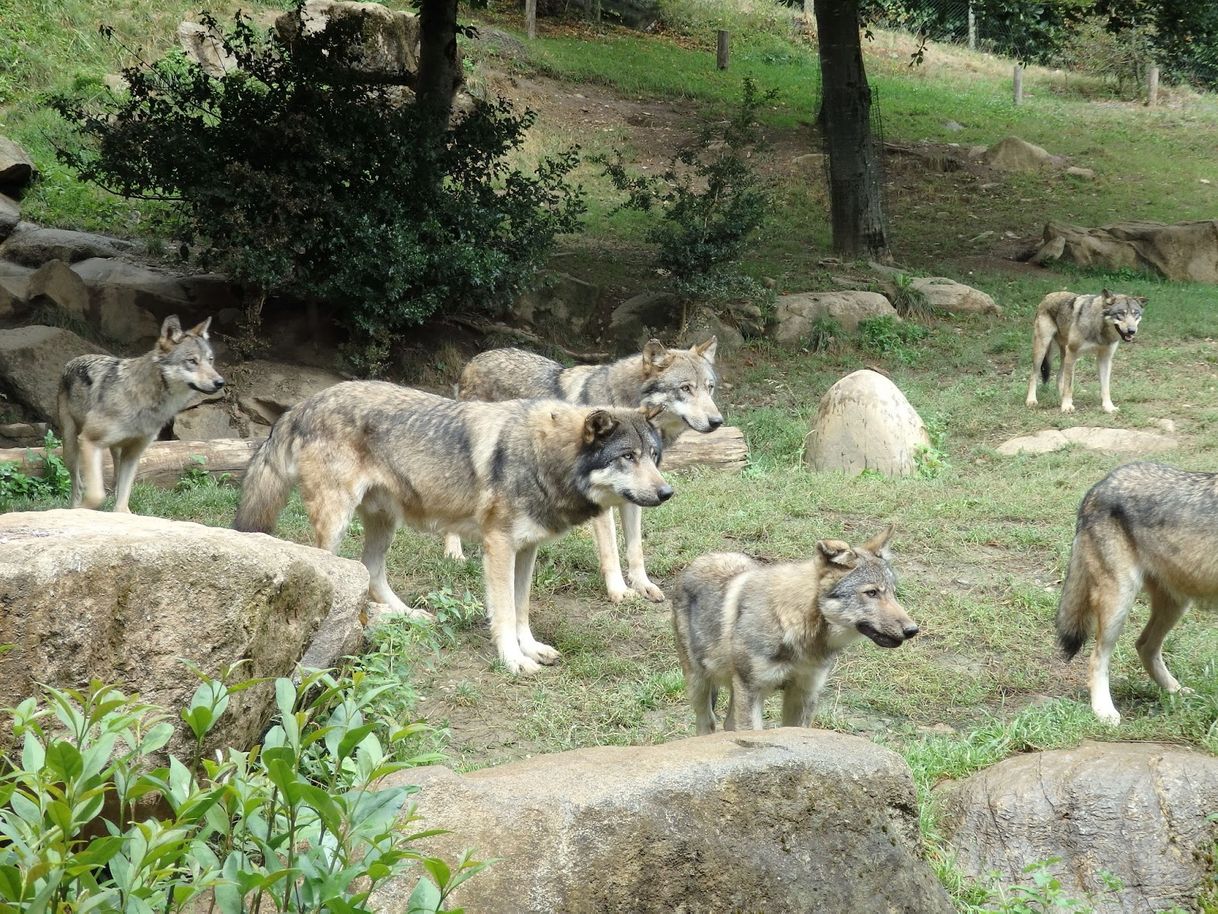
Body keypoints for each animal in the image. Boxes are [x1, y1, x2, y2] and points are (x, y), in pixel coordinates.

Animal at [57, 314, 224, 516]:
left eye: (210, 360)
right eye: (192, 361)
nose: (220, 382)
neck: (144, 401)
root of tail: (72, 360)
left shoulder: (133, 453)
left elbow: (123, 501)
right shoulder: (89, 441)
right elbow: (97, 495)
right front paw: (84, 509)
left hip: (117, 451)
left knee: (115, 482)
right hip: (71, 447)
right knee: (78, 485)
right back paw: (73, 507)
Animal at [235, 382, 677, 677]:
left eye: (654, 456)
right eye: (627, 456)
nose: (667, 492)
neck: (542, 458)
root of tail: (302, 404)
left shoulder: (526, 549)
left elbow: (521, 608)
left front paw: (531, 648)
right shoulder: (498, 547)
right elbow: (503, 612)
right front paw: (514, 660)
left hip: (384, 522)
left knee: (371, 572)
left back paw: (405, 617)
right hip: (337, 523)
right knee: (344, 573)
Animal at [450, 341, 721, 604]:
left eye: (710, 388)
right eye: (685, 388)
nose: (717, 421)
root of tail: (474, 360)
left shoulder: (635, 492)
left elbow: (635, 548)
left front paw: (643, 585)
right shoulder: (600, 500)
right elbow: (611, 550)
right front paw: (619, 591)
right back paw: (454, 553)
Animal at [672, 526, 915, 736]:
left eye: (893, 593)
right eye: (872, 593)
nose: (912, 629)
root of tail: (701, 559)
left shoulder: (803, 693)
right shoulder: (751, 692)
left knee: (728, 723)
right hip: (699, 684)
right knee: (708, 723)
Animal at [1052, 465, 1213, 731]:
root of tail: (1099, 485)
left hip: (1176, 605)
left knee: (1144, 646)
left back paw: (1175, 691)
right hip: (1119, 601)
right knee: (1098, 658)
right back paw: (1104, 711)